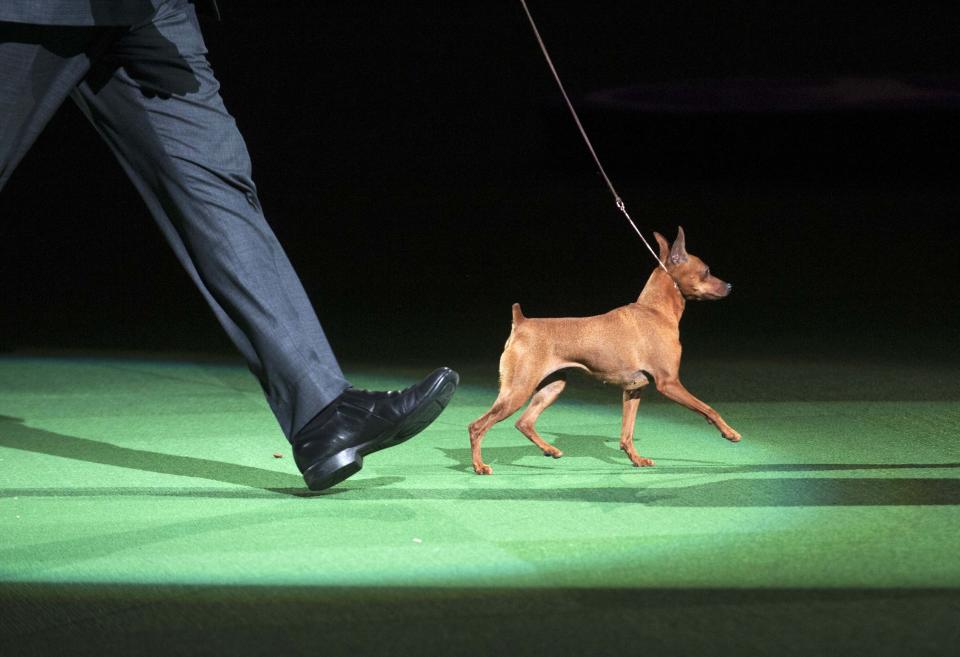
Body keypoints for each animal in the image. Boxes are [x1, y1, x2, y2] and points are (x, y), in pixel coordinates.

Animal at [468, 226, 740, 472]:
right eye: (706, 271)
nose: (729, 286)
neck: (654, 311)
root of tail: (521, 322)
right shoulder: (669, 383)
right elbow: (708, 409)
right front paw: (730, 432)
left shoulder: (634, 389)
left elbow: (626, 434)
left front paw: (636, 459)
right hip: (518, 389)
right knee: (477, 426)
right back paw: (479, 466)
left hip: (551, 386)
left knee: (523, 422)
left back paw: (550, 450)